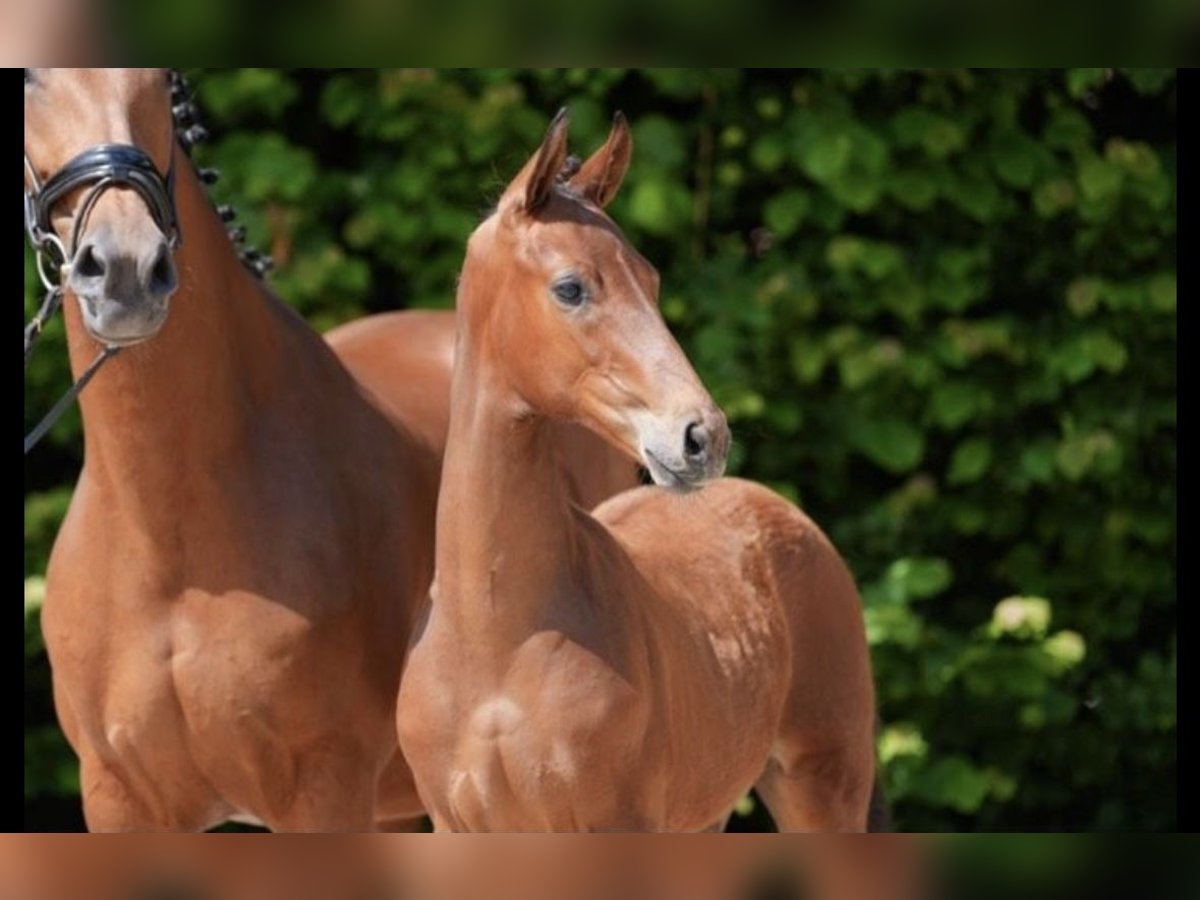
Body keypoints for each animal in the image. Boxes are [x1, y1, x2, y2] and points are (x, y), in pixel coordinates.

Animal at [23, 68, 633, 830]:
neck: (164, 534)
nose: (127, 269)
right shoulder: (117, 797)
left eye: (158, 81)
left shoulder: (324, 787)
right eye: (31, 78)